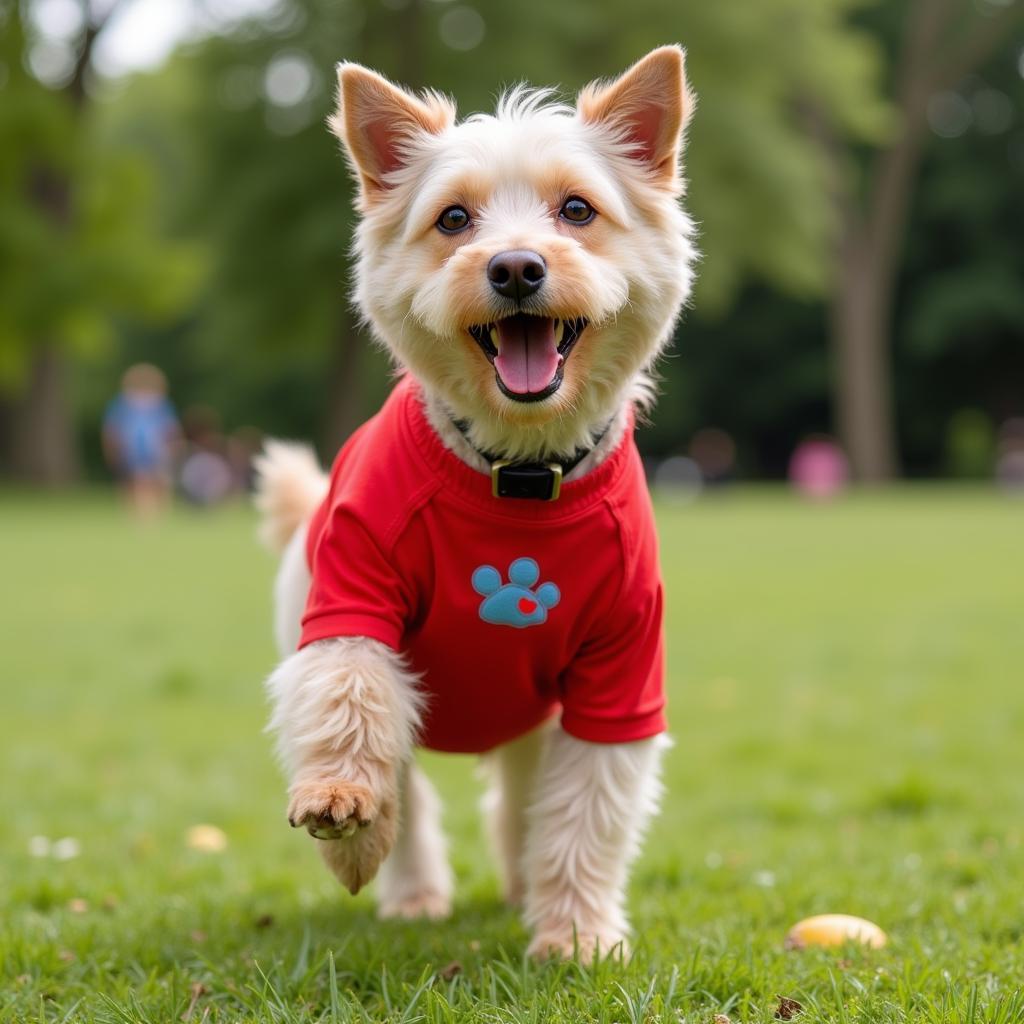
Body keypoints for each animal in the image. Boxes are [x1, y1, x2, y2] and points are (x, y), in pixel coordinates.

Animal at [254, 48, 696, 958]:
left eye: (577, 210)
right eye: (453, 219)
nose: (515, 267)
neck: (517, 472)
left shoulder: (621, 675)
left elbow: (585, 812)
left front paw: (575, 934)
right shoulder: (350, 599)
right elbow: (347, 695)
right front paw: (343, 810)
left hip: (533, 716)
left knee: (524, 798)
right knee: (406, 780)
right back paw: (405, 883)